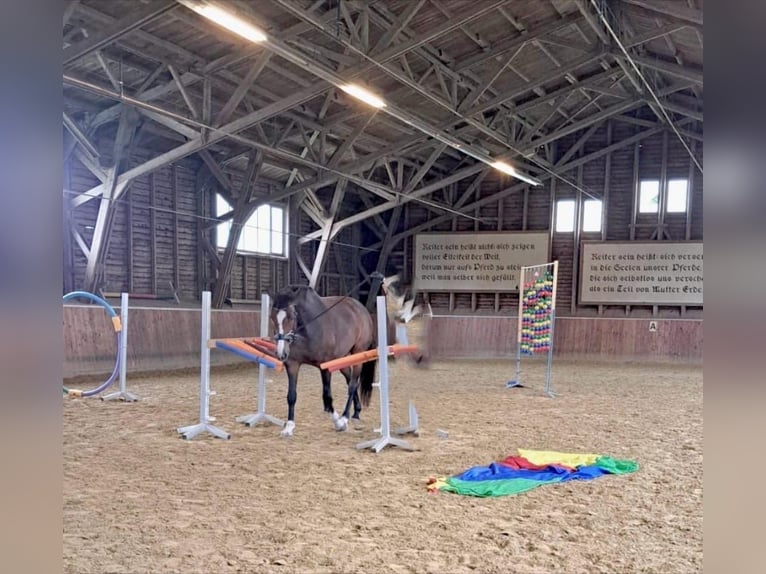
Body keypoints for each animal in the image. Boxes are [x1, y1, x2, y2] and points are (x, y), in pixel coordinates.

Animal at [270, 284, 395, 437]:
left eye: (291, 317)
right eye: (272, 318)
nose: (281, 353)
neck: (308, 330)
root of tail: (361, 309)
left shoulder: (325, 367)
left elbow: (327, 399)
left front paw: (339, 423)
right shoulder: (293, 365)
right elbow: (291, 396)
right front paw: (289, 427)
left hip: (358, 355)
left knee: (353, 384)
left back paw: (345, 417)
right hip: (342, 360)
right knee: (350, 381)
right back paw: (356, 413)